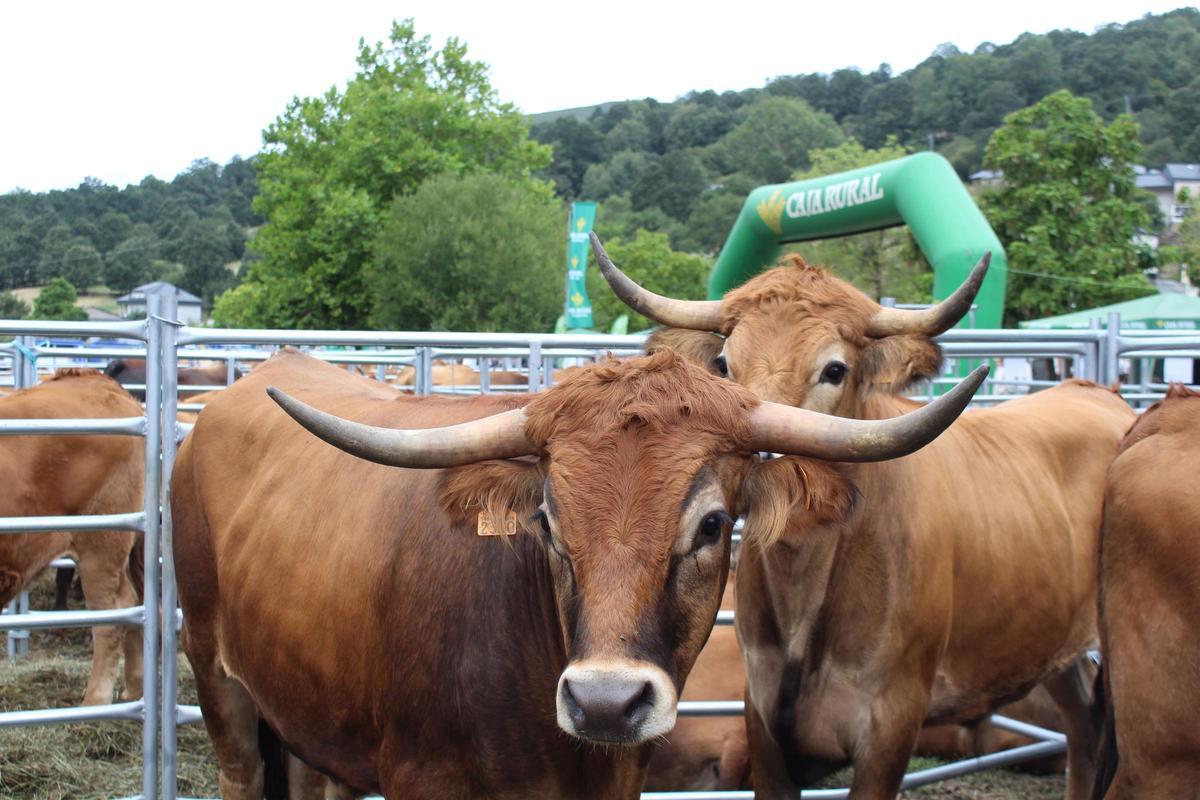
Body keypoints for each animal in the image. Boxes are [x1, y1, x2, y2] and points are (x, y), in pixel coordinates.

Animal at [172, 347, 982, 799]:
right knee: (242, 772)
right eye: (548, 524)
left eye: (712, 525)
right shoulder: (419, 777)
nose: (604, 703)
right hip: (217, 680)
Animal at [593, 234, 1135, 800]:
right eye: (722, 364)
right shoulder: (762, 723)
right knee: (1082, 728)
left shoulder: (889, 728)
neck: (806, 578)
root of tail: (1097, 393)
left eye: (834, 369)